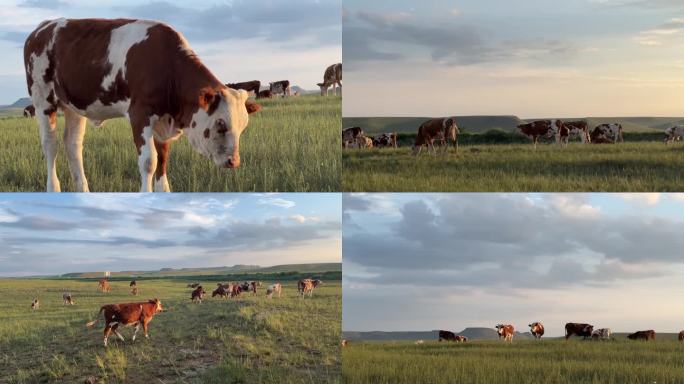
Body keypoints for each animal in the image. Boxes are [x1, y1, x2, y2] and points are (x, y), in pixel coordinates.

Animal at [23, 18, 262, 192]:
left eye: (243, 128)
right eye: (220, 124)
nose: (234, 161)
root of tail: (42, 27)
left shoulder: (163, 120)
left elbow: (163, 161)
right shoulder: (140, 114)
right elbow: (149, 162)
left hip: (74, 106)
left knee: (73, 145)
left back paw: (82, 190)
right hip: (43, 99)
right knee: (50, 144)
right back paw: (53, 189)